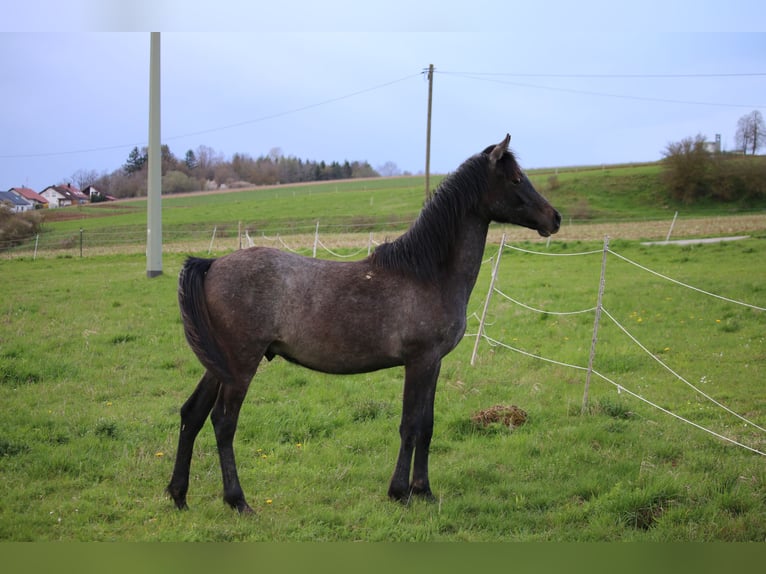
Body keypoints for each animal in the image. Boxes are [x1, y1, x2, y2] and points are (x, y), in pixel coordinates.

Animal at [167, 134, 561, 513]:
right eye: (516, 178)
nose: (554, 218)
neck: (428, 273)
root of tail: (212, 264)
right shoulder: (419, 362)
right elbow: (410, 425)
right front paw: (400, 492)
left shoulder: (434, 363)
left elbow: (428, 425)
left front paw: (424, 491)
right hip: (241, 365)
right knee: (223, 422)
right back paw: (238, 501)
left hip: (220, 365)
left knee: (192, 413)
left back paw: (179, 495)